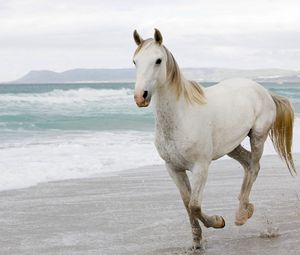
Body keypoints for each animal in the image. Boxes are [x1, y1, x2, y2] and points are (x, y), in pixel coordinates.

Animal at [132, 28, 296, 249]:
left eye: (158, 60)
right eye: (135, 61)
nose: (140, 96)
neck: (181, 116)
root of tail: (263, 90)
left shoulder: (201, 167)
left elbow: (194, 205)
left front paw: (218, 222)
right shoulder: (173, 169)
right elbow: (187, 204)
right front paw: (196, 242)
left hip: (258, 136)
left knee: (254, 167)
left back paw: (241, 215)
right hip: (232, 146)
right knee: (247, 164)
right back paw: (245, 209)